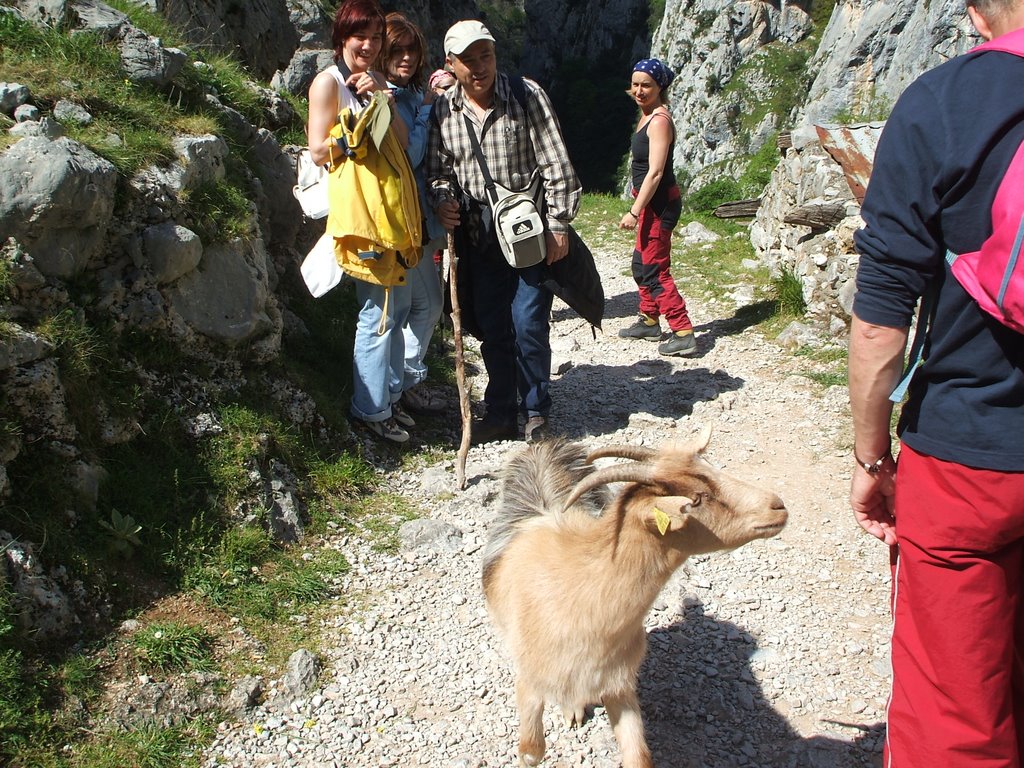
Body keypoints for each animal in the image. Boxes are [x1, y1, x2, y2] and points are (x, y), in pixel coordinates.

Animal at [483, 428, 786, 768]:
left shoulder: (620, 686)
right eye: (696, 499)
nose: (777, 506)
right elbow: (531, 751)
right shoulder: (530, 682)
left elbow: (638, 756)